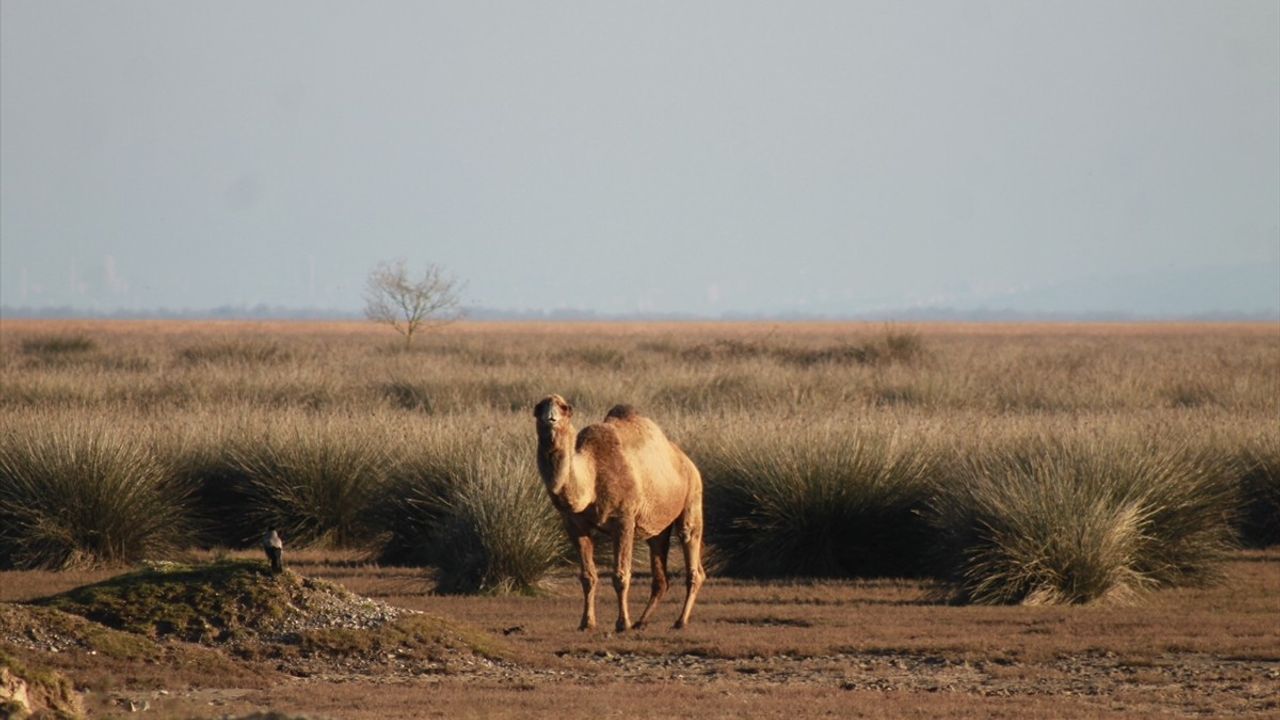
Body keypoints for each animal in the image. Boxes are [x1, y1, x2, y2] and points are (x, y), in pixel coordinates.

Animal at [532, 394, 706, 630]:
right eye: (538, 408)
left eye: (564, 408)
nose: (550, 418)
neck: (591, 476)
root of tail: (687, 461)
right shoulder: (574, 524)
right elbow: (588, 576)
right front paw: (586, 623)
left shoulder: (623, 519)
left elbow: (620, 576)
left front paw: (623, 623)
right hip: (657, 524)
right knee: (661, 574)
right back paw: (642, 621)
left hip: (692, 498)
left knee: (692, 556)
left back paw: (680, 621)